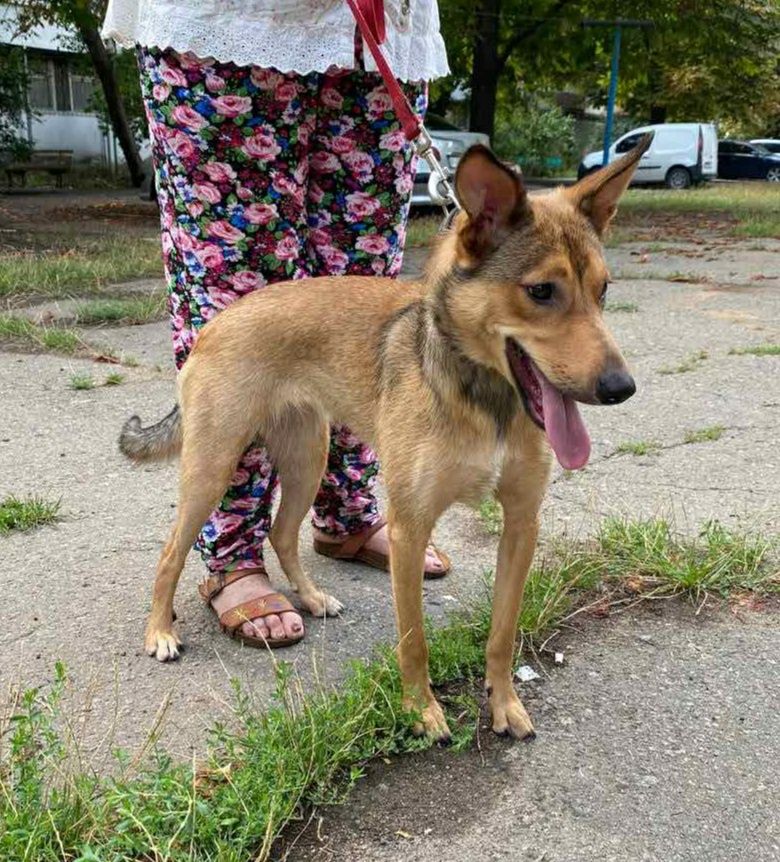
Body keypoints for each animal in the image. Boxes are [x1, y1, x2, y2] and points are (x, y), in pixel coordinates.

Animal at [119, 137, 648, 744]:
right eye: (541, 291)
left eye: (603, 291)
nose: (621, 388)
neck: (483, 396)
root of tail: (217, 321)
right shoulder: (409, 530)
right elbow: (413, 640)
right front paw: (421, 711)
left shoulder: (521, 524)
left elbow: (503, 632)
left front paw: (504, 702)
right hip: (214, 466)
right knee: (171, 552)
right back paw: (159, 631)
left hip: (308, 458)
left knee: (282, 532)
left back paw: (310, 597)